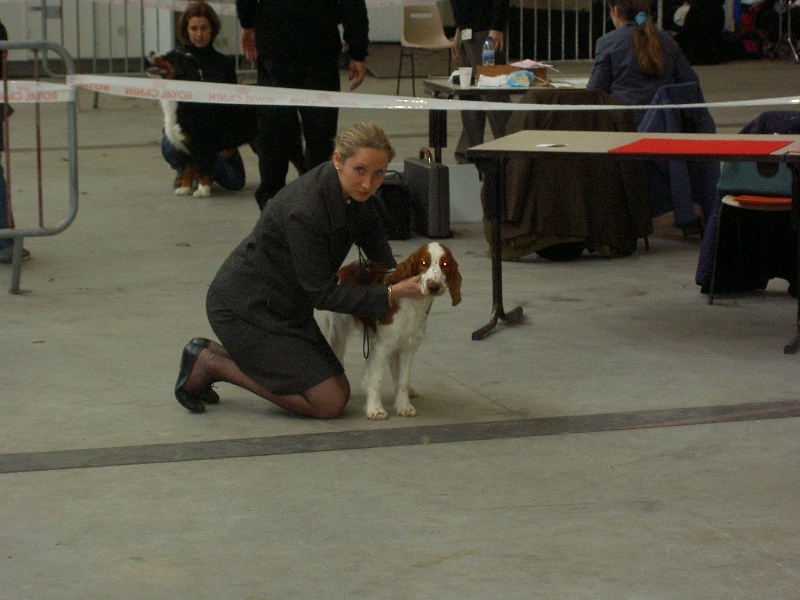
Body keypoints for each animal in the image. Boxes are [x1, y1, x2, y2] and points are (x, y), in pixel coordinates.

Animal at [325, 242, 462, 420]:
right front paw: (375, 409)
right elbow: (376, 379)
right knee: (338, 352)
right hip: (339, 329)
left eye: (445, 264)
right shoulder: (381, 346)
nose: (433, 286)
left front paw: (404, 406)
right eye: (424, 263)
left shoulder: (408, 346)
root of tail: (346, 268)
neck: (413, 304)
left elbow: (403, 379)